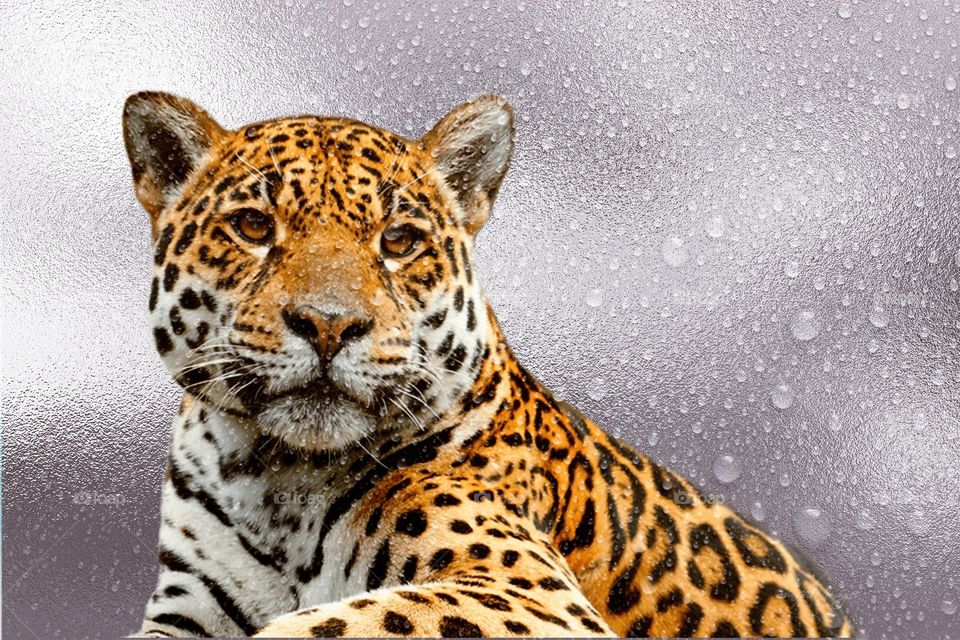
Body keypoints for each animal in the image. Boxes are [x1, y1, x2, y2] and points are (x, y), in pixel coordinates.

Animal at [122, 91, 853, 638]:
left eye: (400, 241)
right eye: (252, 227)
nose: (329, 325)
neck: (278, 484)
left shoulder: (525, 590)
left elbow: (331, 625)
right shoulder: (187, 606)